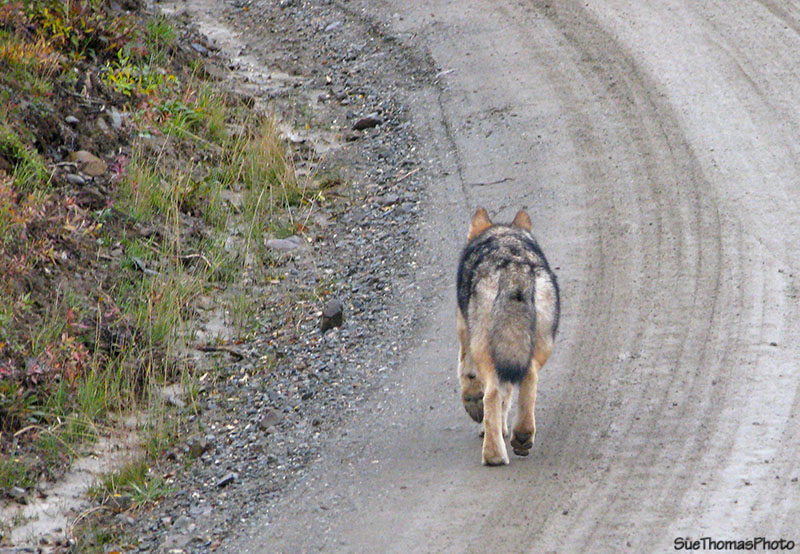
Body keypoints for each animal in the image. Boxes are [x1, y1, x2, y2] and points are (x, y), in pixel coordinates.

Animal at [456, 207, 560, 465]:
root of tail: (515, 269)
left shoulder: (464, 331)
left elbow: (468, 376)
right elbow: (508, 394)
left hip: (484, 347)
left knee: (491, 394)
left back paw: (493, 455)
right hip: (538, 348)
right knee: (529, 379)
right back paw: (522, 436)